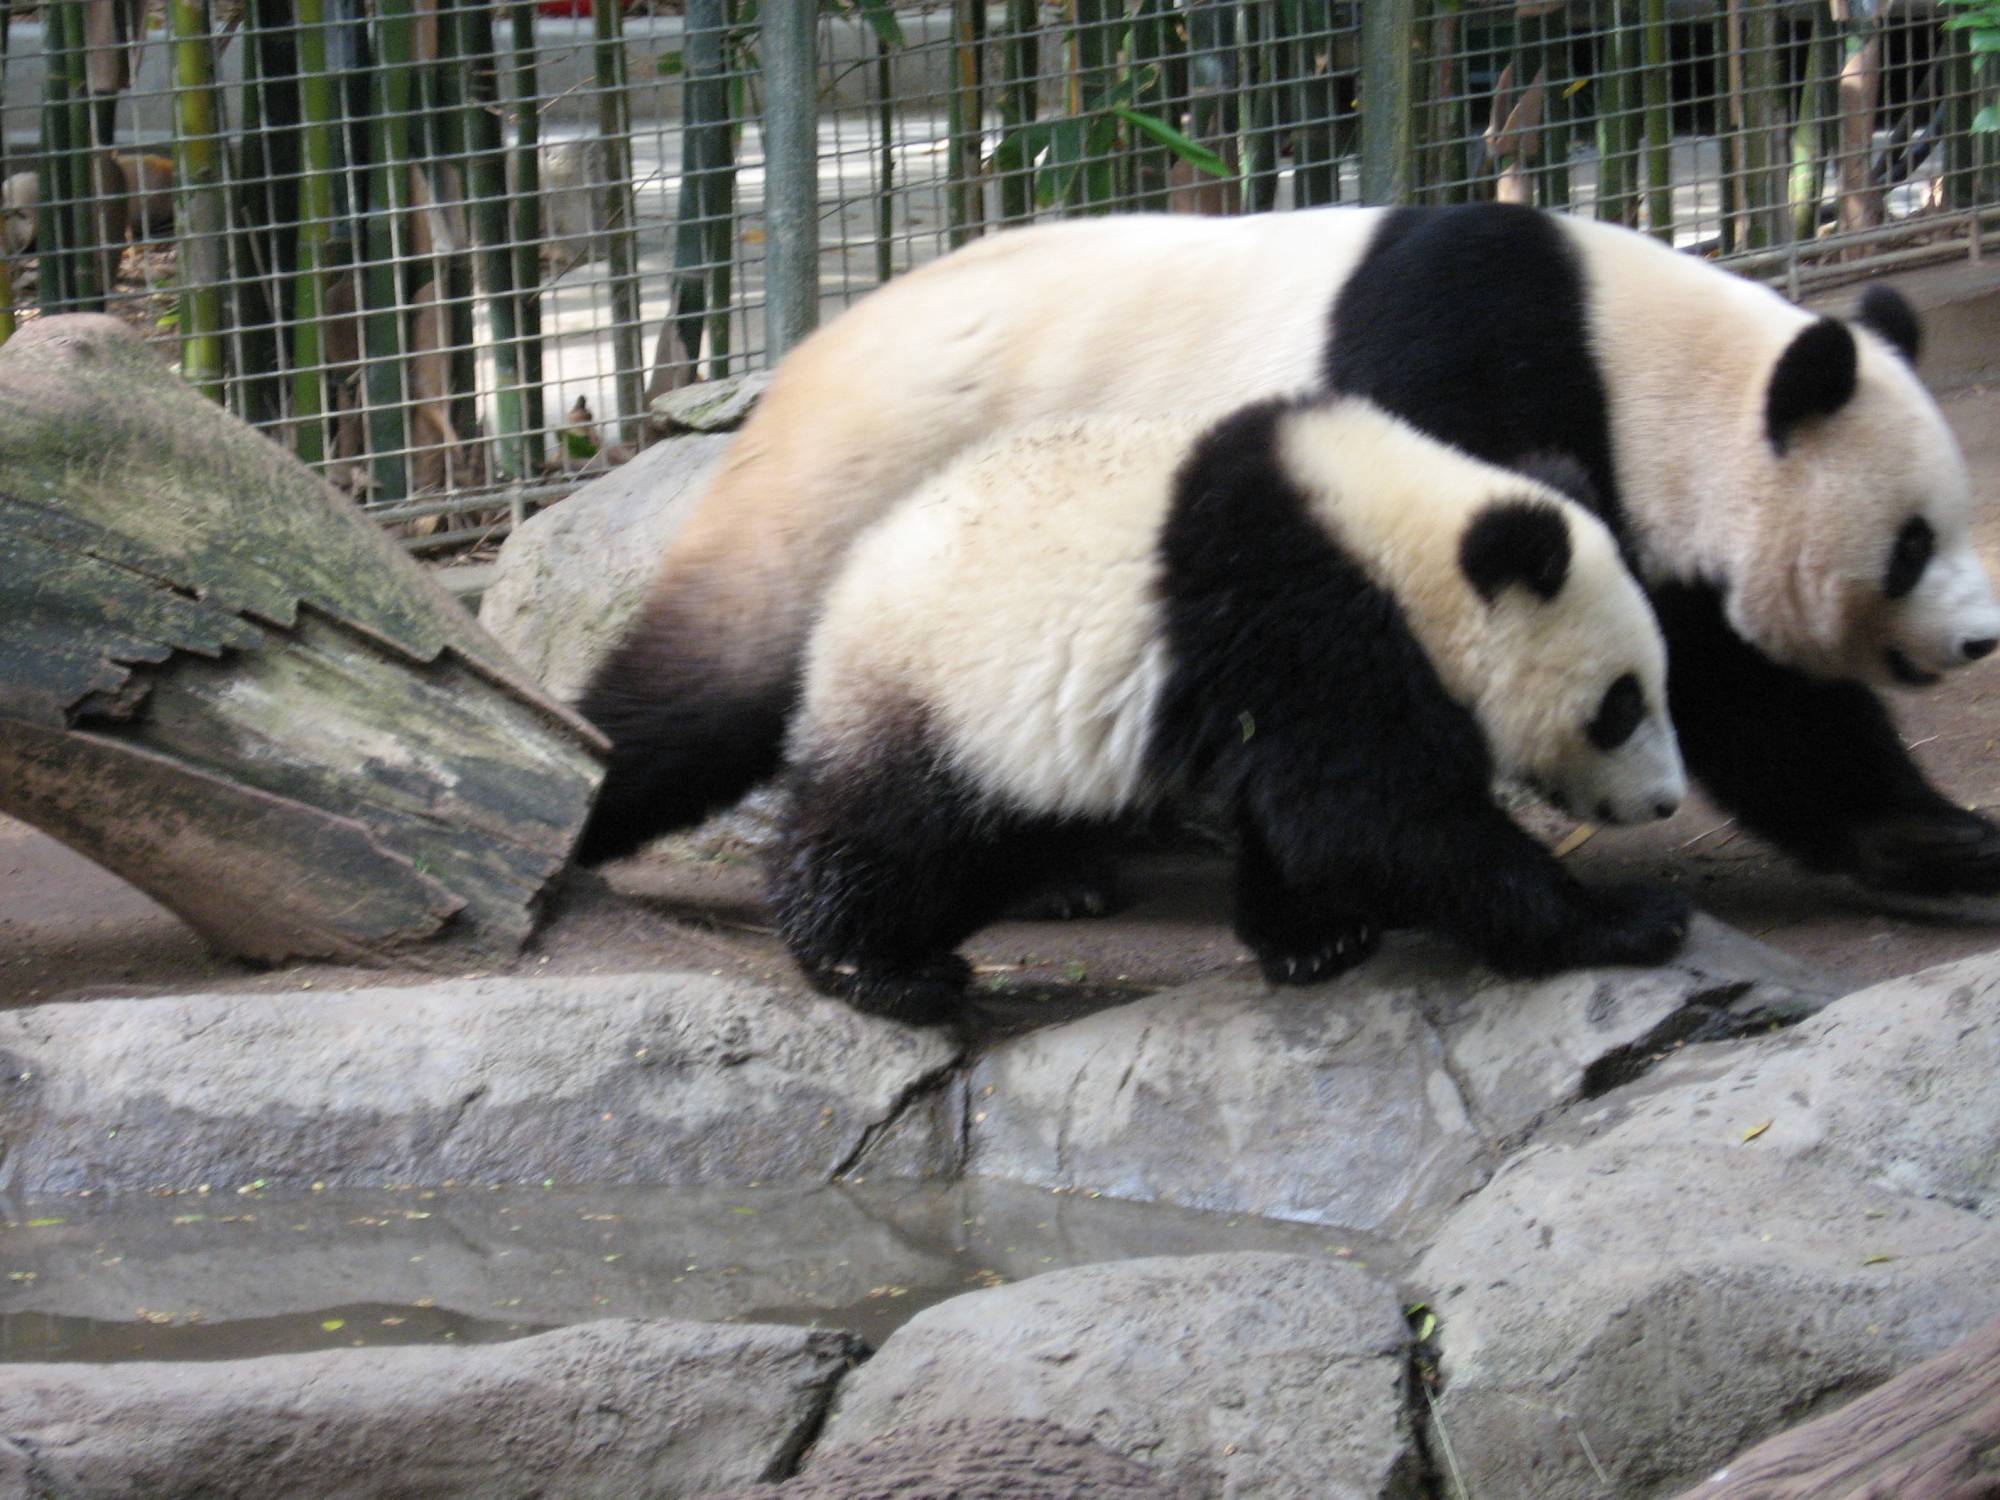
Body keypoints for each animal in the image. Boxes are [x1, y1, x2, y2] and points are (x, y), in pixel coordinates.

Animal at [580, 204, 2000, 900]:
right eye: (1910, 542)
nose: (1978, 636)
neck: (1634, 359)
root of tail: (793, 362)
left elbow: (1753, 702)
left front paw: (1939, 844)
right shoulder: (1461, 390)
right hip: (871, 507)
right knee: (719, 691)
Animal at [764, 400, 1688, 1032]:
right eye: (1620, 705)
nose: (1666, 802)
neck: (1404, 543)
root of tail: (845, 584)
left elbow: (1311, 820)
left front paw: (1312, 937)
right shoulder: (1304, 612)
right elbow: (1375, 817)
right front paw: (1629, 919)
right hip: (945, 692)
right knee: (899, 834)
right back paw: (876, 965)